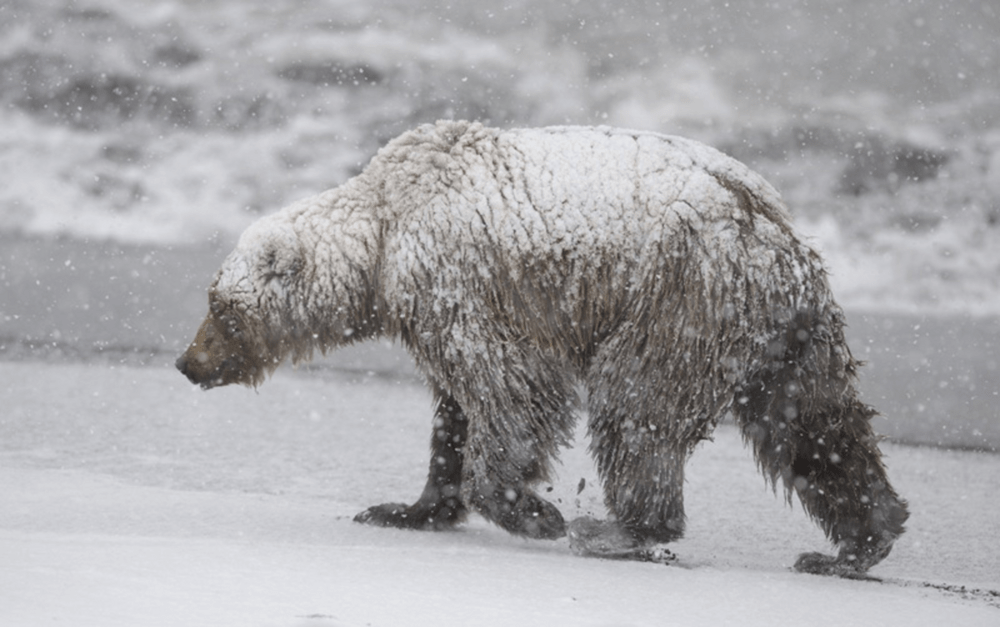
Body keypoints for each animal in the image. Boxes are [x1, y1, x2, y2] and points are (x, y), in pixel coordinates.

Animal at [178, 120, 908, 576]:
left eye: (221, 309)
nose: (188, 363)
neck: (382, 239)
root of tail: (777, 234)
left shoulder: (460, 280)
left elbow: (510, 388)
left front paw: (536, 510)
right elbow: (455, 410)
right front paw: (404, 507)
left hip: (678, 297)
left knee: (635, 406)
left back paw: (619, 528)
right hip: (786, 335)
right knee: (815, 427)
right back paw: (857, 542)